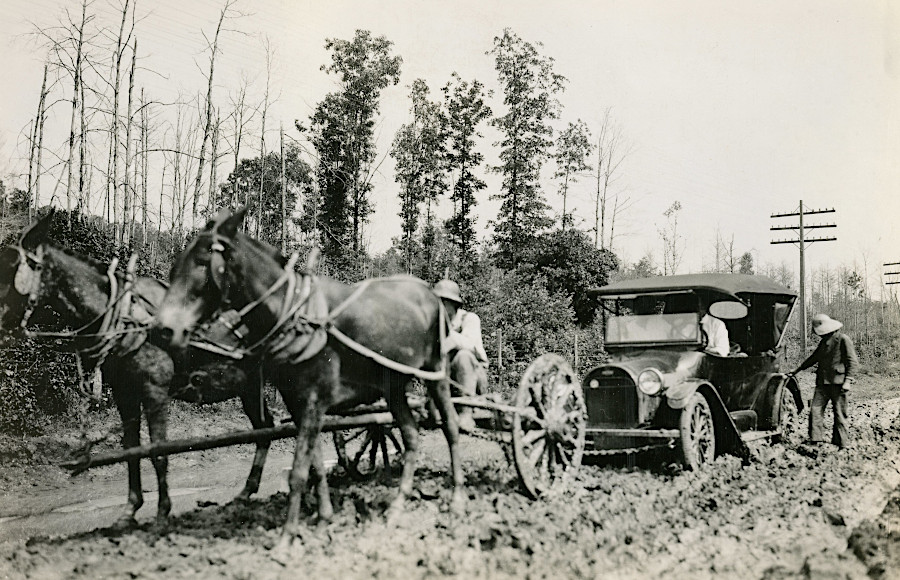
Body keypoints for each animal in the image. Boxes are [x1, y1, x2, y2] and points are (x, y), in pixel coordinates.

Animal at [0, 214, 288, 532]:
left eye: (12, 269)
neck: (127, 319)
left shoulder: (155, 391)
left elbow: (158, 450)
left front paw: (162, 511)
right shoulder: (125, 393)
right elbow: (132, 449)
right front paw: (130, 510)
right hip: (251, 384)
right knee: (264, 428)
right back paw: (247, 491)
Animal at [155, 210, 464, 548]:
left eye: (201, 262)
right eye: (176, 264)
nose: (164, 329)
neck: (292, 314)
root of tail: (429, 294)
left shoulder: (315, 399)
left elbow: (299, 471)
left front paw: (287, 538)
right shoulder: (297, 403)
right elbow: (314, 464)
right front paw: (323, 517)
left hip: (436, 372)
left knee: (450, 427)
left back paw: (457, 497)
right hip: (393, 386)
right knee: (410, 436)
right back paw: (396, 506)